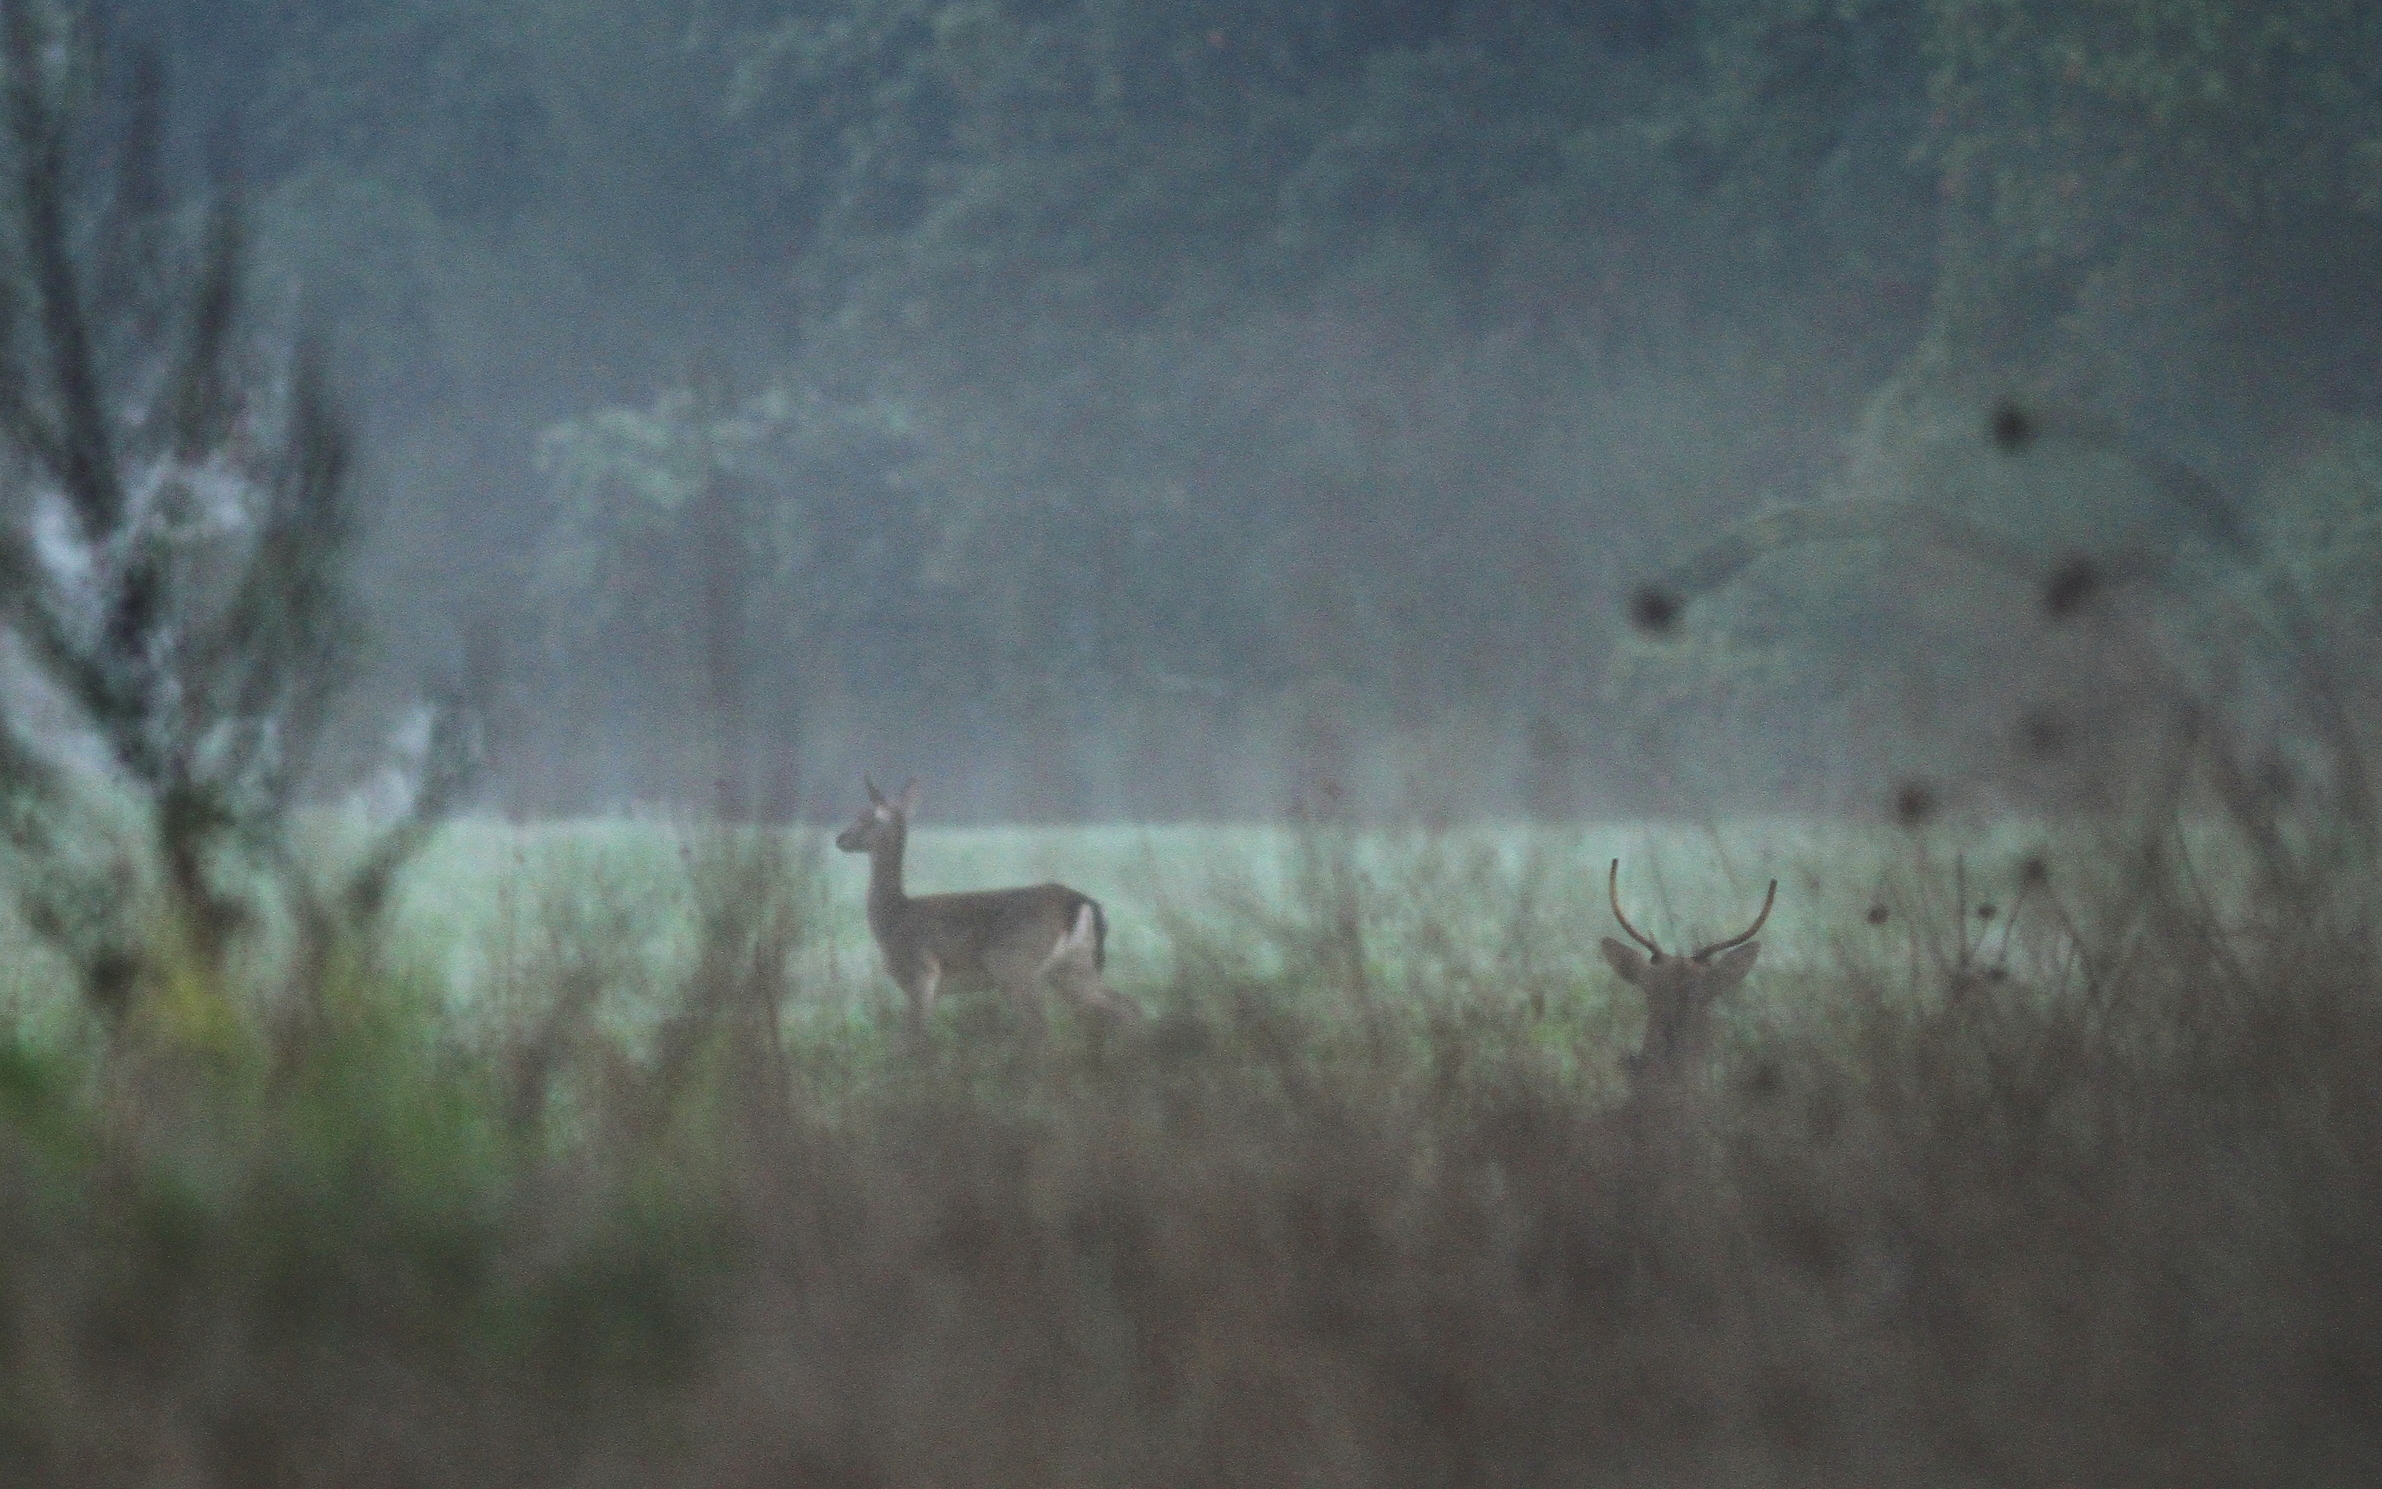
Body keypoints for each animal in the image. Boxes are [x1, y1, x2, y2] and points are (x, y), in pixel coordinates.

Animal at [833, 771, 1138, 1038]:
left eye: (866, 817)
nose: (840, 839)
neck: (893, 917)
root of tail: (1080, 902)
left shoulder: (921, 971)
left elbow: (912, 1039)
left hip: (1015, 964)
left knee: (1041, 1026)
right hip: (1073, 965)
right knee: (1124, 1006)